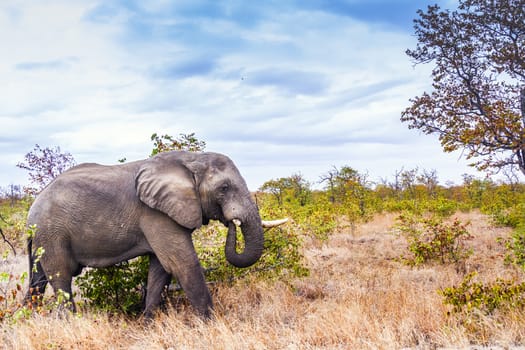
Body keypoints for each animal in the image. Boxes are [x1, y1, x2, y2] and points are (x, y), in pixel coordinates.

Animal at [24, 149, 282, 318]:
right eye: (224, 188)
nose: (232, 222)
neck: (191, 159)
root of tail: (31, 209)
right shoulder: (156, 214)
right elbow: (181, 263)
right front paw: (212, 324)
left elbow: (160, 269)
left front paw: (147, 322)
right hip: (52, 233)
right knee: (61, 277)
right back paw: (71, 321)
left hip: (44, 237)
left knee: (37, 279)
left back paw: (28, 319)